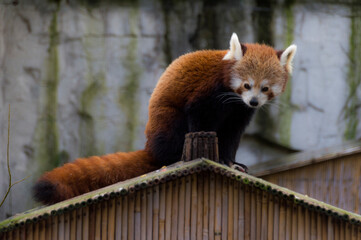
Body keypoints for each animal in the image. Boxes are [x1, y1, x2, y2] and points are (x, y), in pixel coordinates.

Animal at [32, 32, 296, 204]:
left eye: (265, 88)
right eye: (247, 85)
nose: (254, 101)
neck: (233, 98)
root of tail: (151, 147)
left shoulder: (239, 112)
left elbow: (232, 135)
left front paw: (231, 162)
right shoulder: (207, 94)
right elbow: (198, 117)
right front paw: (218, 158)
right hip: (167, 120)